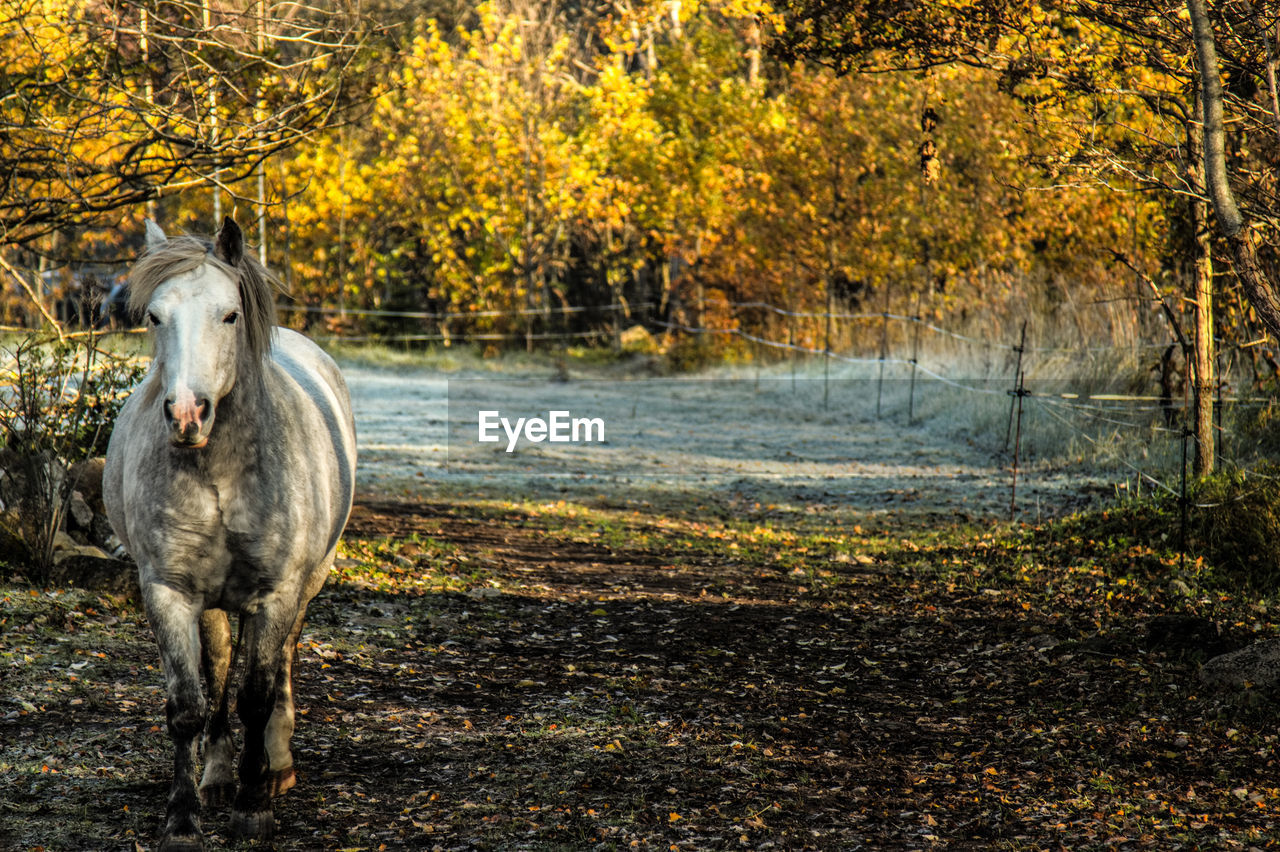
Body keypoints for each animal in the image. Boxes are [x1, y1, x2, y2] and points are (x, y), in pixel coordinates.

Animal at [103, 217, 355, 844]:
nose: (187, 414)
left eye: (229, 315)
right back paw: (218, 774)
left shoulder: (275, 593)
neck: (221, 471)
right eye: (154, 317)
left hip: (307, 584)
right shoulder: (168, 591)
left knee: (281, 661)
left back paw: (276, 765)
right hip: (212, 599)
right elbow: (189, 704)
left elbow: (257, 696)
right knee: (218, 667)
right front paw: (184, 817)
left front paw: (254, 806)